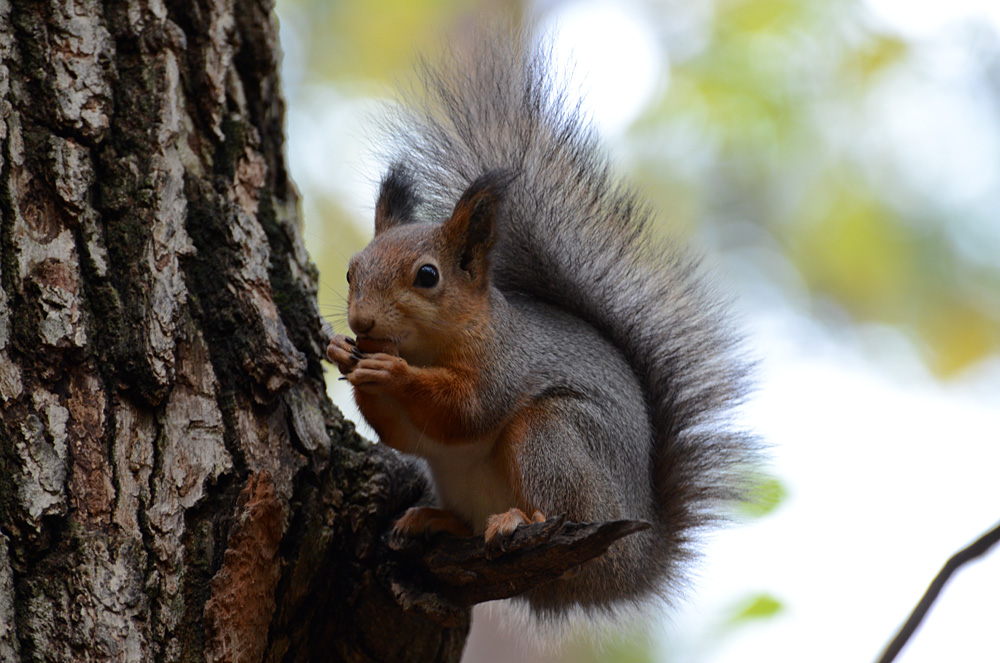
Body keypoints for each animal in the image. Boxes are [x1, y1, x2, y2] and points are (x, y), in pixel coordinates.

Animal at [328, 28, 756, 616]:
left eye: (428, 276)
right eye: (351, 271)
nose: (362, 321)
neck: (430, 345)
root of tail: (636, 563)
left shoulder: (505, 362)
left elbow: (466, 412)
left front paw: (393, 373)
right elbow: (407, 436)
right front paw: (344, 353)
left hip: (552, 437)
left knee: (552, 505)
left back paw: (517, 519)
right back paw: (433, 519)